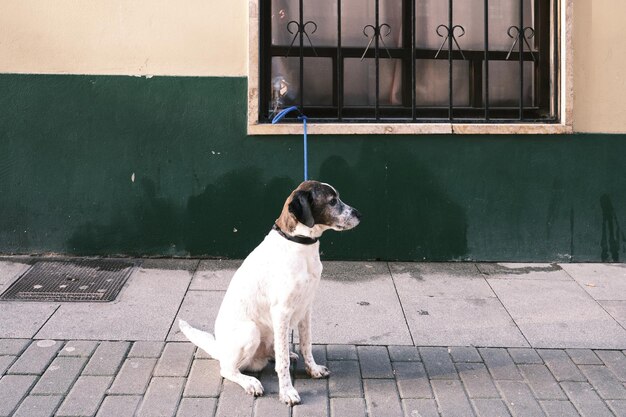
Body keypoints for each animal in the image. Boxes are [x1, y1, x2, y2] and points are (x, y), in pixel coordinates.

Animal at [178, 180, 358, 404]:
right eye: (332, 201)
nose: (359, 214)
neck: (298, 243)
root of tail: (219, 348)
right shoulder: (281, 311)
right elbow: (282, 364)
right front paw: (287, 392)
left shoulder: (306, 308)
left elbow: (306, 344)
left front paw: (313, 369)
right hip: (251, 331)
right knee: (228, 369)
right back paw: (250, 382)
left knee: (276, 351)